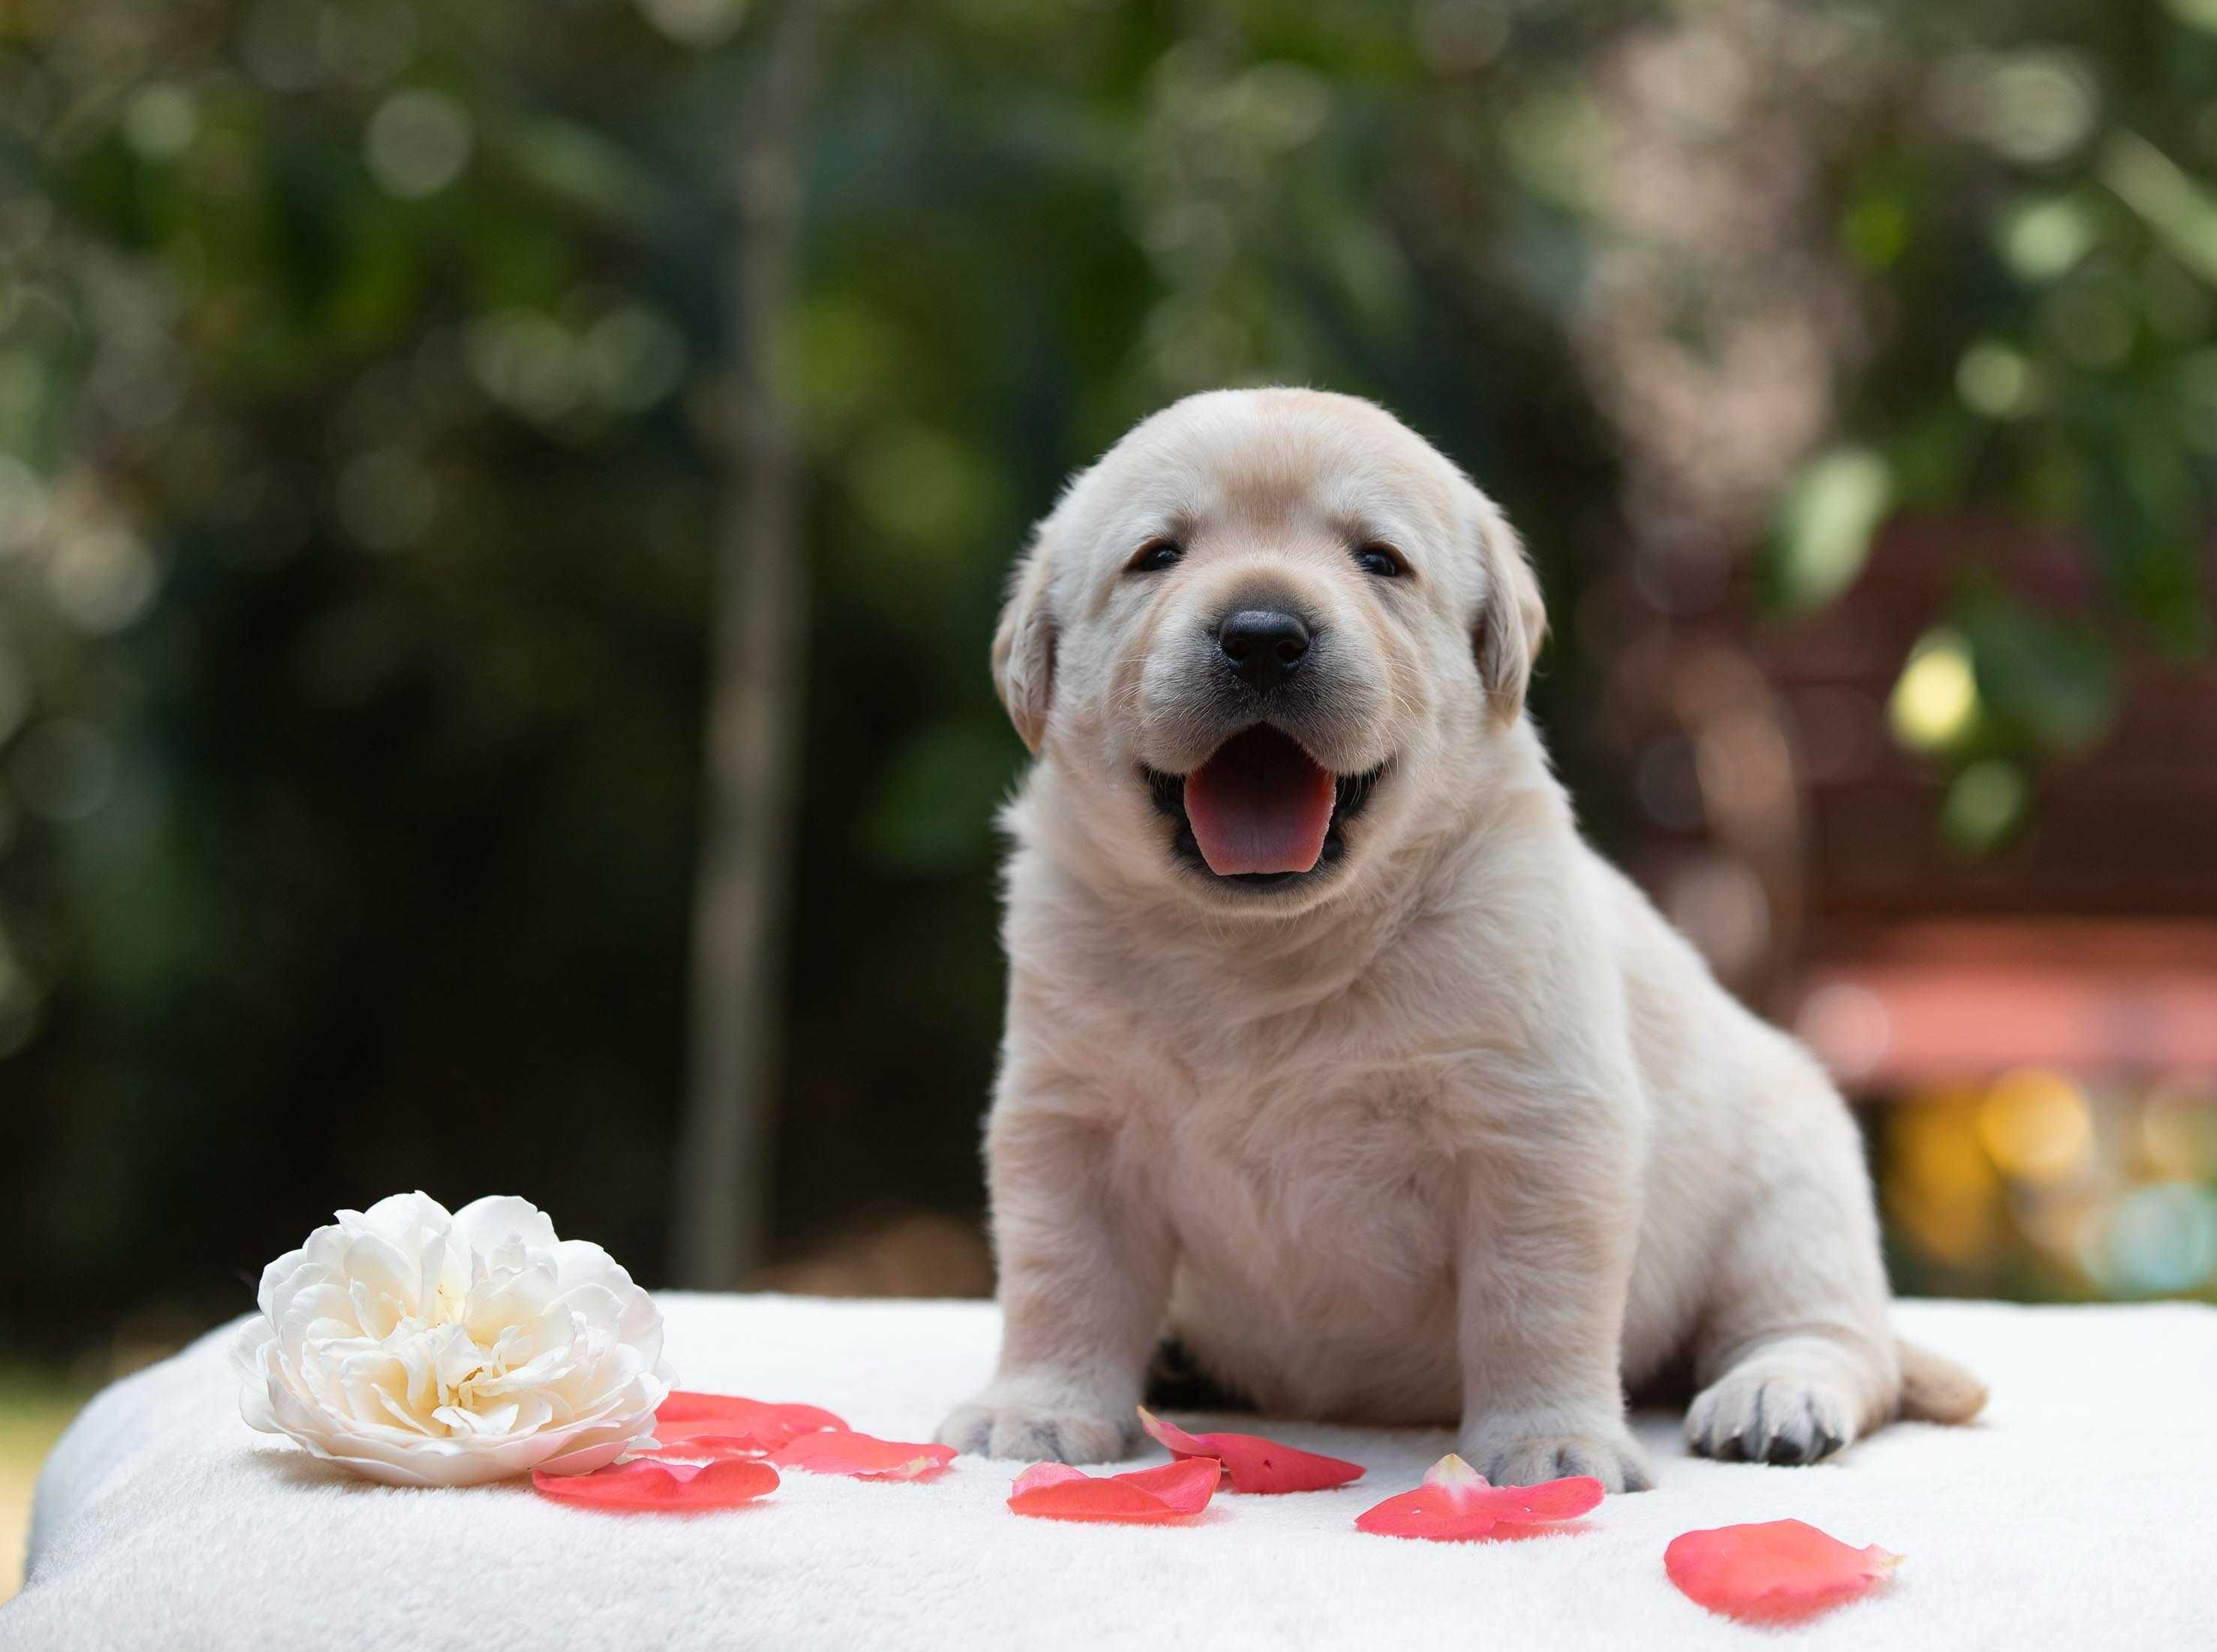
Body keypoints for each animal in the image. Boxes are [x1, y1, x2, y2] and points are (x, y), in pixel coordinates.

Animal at [940, 392, 1995, 1490]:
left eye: (1379, 560)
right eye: (1156, 556)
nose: (1263, 634)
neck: (1266, 949)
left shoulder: (1538, 1128)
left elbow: (1534, 1300)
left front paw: (1549, 1442)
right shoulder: (1072, 1121)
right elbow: (1063, 1278)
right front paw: (1040, 1409)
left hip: (1791, 1182)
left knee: (1831, 1334)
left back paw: (1776, 1394)